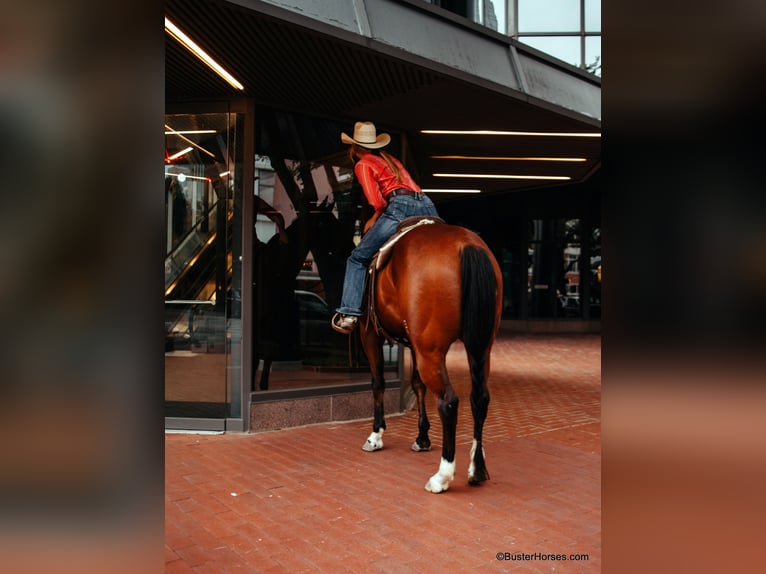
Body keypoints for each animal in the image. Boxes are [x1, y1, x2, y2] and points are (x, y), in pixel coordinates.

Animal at [358, 222, 504, 496]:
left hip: (431, 351)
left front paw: (376, 435)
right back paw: (477, 469)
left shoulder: (369, 332)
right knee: (479, 398)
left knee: (448, 401)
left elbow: (378, 382)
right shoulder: (413, 343)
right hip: (480, 347)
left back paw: (442, 476)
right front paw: (422, 437)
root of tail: (467, 245)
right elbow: (417, 385)